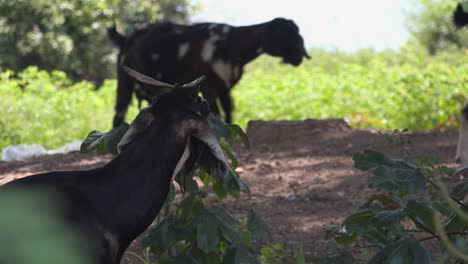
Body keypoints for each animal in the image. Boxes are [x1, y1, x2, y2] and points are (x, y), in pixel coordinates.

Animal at [108, 17, 308, 127]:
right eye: (283, 34)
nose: (299, 56)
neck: (230, 43)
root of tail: (126, 38)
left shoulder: (225, 87)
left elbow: (228, 113)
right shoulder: (209, 86)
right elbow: (215, 114)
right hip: (124, 81)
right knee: (119, 114)